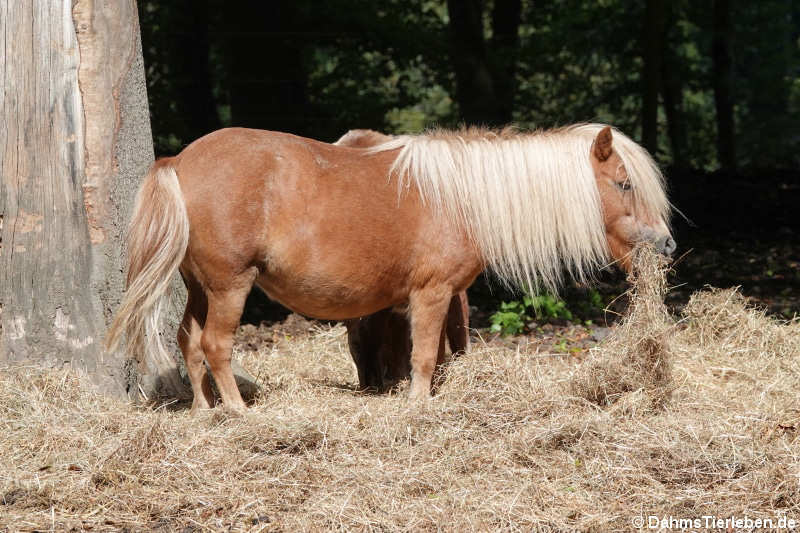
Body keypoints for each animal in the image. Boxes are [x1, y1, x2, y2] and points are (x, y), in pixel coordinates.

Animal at [106, 123, 676, 412]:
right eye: (624, 183)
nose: (667, 245)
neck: (462, 196)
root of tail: (179, 162)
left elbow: (436, 355)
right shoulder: (431, 292)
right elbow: (423, 355)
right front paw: (418, 408)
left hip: (201, 287)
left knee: (188, 341)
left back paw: (204, 413)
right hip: (230, 286)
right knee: (215, 345)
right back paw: (239, 414)